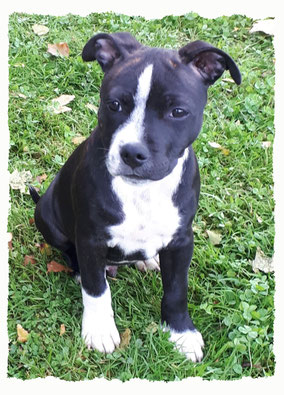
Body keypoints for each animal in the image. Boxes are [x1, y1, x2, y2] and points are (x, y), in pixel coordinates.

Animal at [30, 32, 241, 364]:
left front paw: (181, 332)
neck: (142, 191)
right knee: (72, 254)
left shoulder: (182, 240)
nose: (132, 153)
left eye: (178, 112)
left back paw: (148, 260)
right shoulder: (90, 238)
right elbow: (96, 289)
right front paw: (100, 329)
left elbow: (177, 289)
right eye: (114, 104)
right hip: (47, 216)